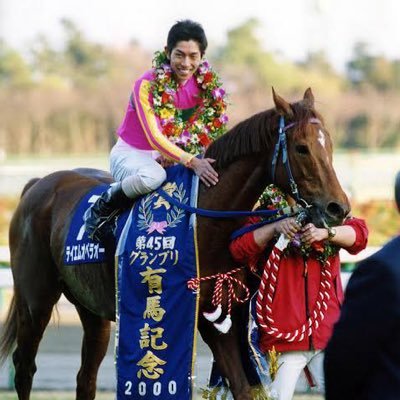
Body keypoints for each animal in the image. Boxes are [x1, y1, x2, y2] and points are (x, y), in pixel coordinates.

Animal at [0, 88, 350, 400]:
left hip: (92, 309)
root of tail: (37, 185)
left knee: (85, 378)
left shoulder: (225, 316)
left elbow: (244, 388)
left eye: (330, 144)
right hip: (35, 301)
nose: (339, 207)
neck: (204, 220)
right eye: (302, 148)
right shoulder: (190, 316)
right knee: (24, 367)